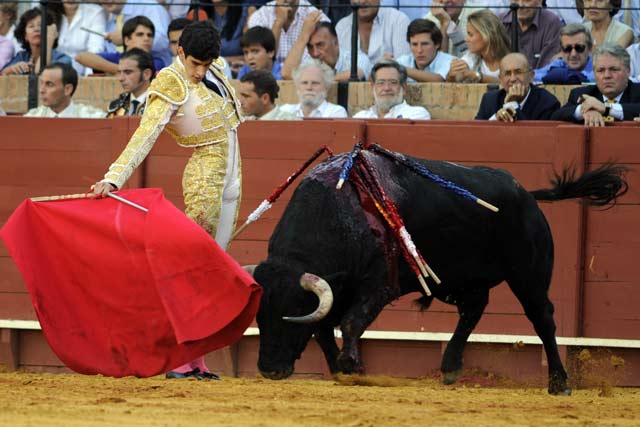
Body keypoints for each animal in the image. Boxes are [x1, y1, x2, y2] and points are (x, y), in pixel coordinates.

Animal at [249, 150, 624, 394]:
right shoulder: (337, 288)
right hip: (462, 281)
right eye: (260, 316)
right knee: (473, 311)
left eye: (293, 311)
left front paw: (351, 367)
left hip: (528, 274)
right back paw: (450, 368)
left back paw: (559, 383)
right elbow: (323, 328)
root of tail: (525, 195)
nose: (268, 369)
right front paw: (339, 369)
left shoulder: (377, 286)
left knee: (542, 318)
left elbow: (349, 323)